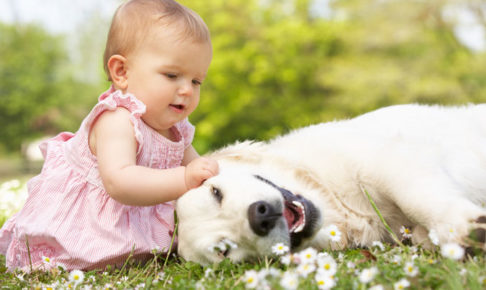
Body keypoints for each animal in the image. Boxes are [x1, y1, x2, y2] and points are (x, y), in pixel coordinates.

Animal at [176, 104, 486, 266]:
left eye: (216, 192)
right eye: (224, 250)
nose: (259, 216)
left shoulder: (384, 159)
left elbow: (415, 198)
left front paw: (462, 227)